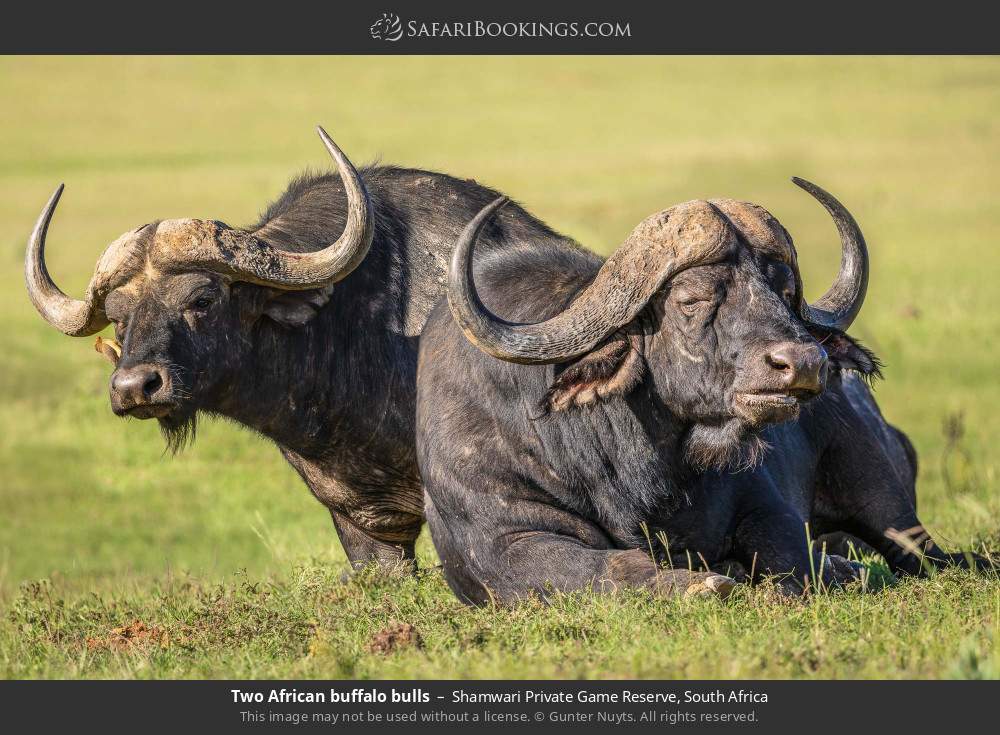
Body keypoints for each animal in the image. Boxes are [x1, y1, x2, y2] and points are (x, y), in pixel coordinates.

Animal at [415, 179, 992, 604]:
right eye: (692, 299)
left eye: (784, 291)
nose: (806, 363)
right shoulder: (503, 542)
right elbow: (603, 568)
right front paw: (702, 583)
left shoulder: (766, 505)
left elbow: (789, 559)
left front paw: (823, 573)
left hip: (882, 495)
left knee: (919, 550)